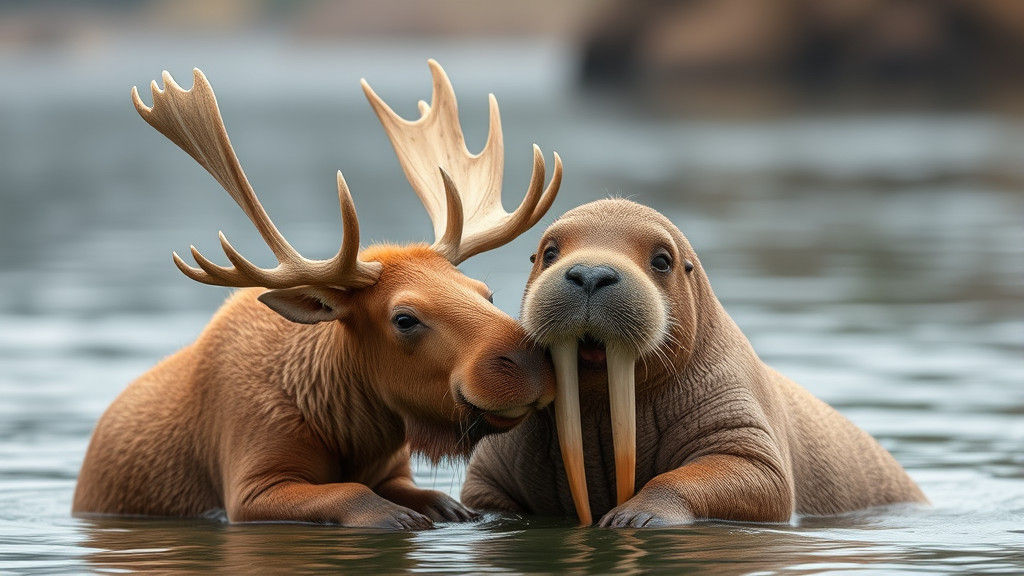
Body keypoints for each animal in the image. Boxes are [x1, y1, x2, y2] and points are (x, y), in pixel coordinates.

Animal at [72, 60, 561, 529]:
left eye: (487, 292)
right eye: (404, 318)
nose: (529, 361)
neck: (347, 430)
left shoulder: (395, 469)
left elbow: (434, 497)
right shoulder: (251, 485)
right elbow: (352, 492)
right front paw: (396, 516)